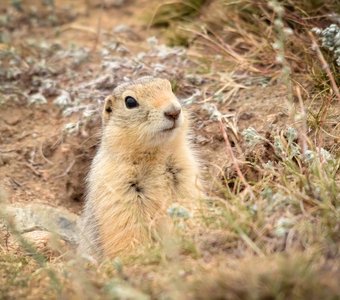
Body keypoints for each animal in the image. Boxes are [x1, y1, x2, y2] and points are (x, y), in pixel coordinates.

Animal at [78, 77, 201, 260]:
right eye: (130, 101)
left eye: (170, 87)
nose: (174, 111)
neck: (154, 155)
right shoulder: (117, 189)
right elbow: (127, 229)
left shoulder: (184, 176)